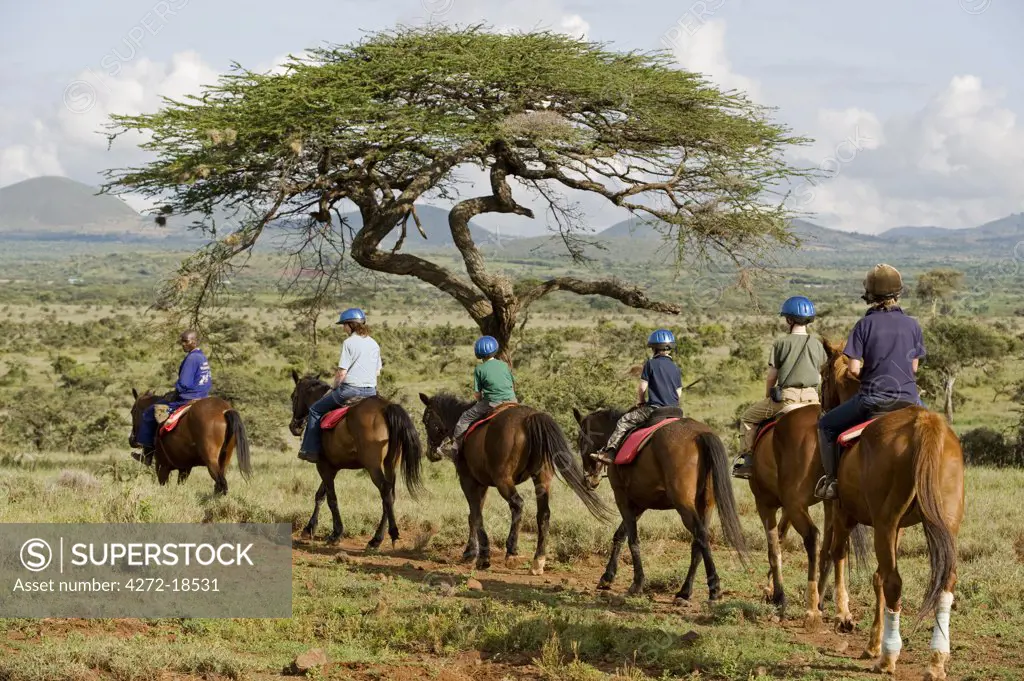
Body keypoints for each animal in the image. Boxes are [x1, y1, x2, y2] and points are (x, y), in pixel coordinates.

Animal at [292, 368, 423, 548]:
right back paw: (377, 538)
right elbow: (321, 495)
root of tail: (386, 407)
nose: (294, 427)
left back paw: (389, 535)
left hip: (373, 466)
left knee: (385, 491)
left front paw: (336, 534)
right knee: (390, 495)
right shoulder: (332, 467)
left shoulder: (323, 465)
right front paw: (309, 528)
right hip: (390, 464)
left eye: (293, 396)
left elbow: (331, 499)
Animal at [417, 393, 610, 573]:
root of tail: (530, 418)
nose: (430, 453)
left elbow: (476, 515)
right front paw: (470, 552)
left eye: (426, 420)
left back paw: (511, 552)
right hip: (542, 479)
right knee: (544, 513)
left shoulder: (468, 481)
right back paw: (538, 560)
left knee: (517, 504)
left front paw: (480, 556)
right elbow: (474, 515)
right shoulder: (482, 484)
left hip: (503, 480)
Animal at [573, 405, 749, 598]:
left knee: (701, 536)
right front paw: (607, 577)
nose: (589, 480)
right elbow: (620, 535)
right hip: (706, 505)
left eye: (580, 440)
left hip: (684, 505)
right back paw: (685, 591)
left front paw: (637, 584)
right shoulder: (640, 504)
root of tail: (701, 434)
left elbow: (633, 540)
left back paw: (714, 587)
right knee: (698, 543)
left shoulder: (622, 498)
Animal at [815, 337, 966, 675]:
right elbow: (876, 579)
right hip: (943, 523)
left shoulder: (844, 514)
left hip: (883, 524)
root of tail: (925, 424)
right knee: (944, 583)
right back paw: (936, 659)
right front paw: (871, 642)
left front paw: (845, 617)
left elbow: (840, 556)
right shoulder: (895, 528)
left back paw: (889, 657)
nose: (823, 405)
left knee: (894, 582)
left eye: (823, 373)